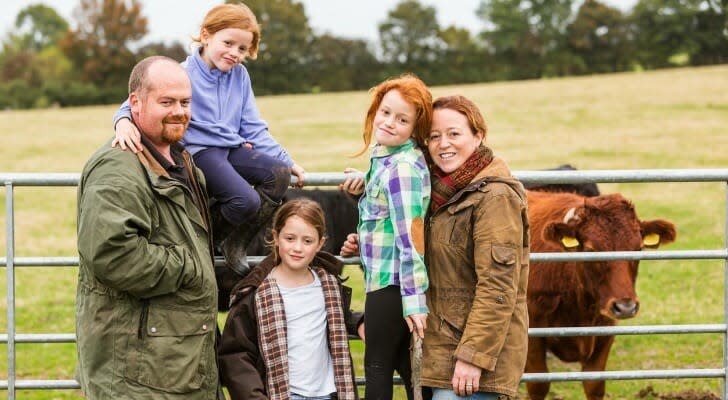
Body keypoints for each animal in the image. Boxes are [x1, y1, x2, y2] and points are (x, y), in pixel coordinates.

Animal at [524, 191, 676, 400]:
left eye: (638, 248)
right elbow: (538, 385)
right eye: (590, 250)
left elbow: (594, 385)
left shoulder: (605, 330)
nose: (626, 307)